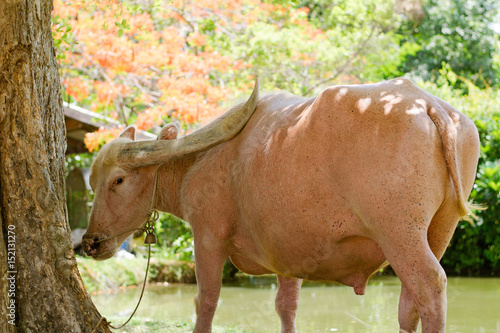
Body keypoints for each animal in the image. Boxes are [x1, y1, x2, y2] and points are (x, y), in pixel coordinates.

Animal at [83, 78, 480, 332]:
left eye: (117, 180)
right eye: (92, 182)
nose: (91, 242)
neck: (201, 160)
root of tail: (428, 104)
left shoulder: (207, 237)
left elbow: (206, 302)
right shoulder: (288, 253)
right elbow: (286, 307)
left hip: (399, 233)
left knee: (429, 286)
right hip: (439, 231)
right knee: (410, 303)